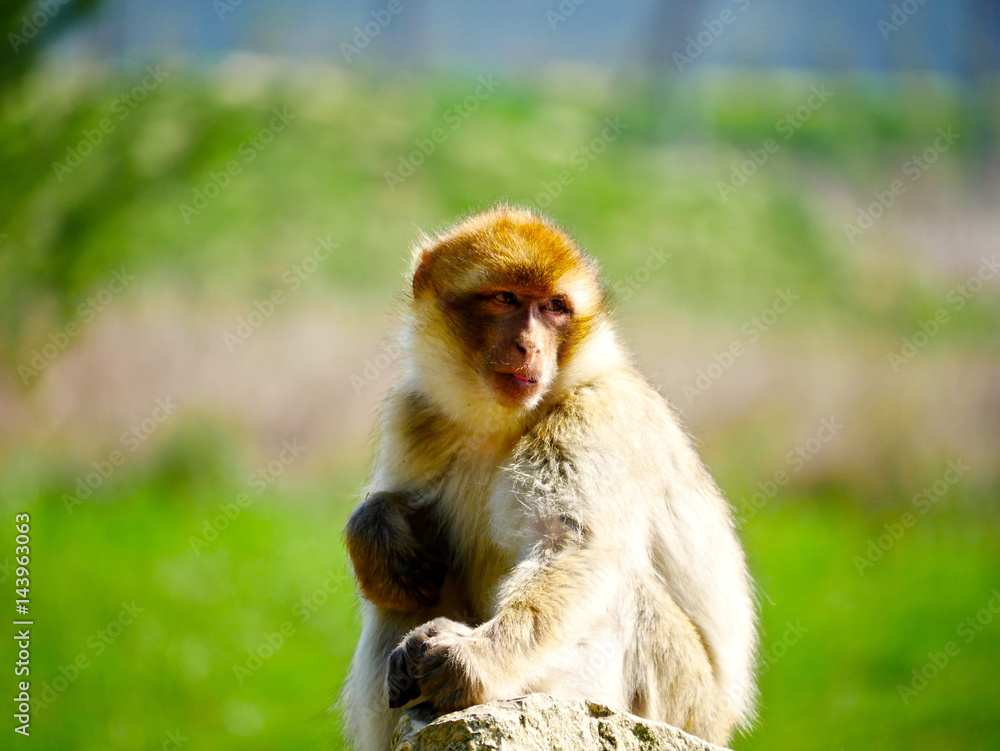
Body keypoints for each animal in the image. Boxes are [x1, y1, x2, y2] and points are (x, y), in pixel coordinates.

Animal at [341, 205, 757, 750]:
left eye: (554, 308)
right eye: (505, 299)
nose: (529, 345)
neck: (503, 422)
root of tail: (720, 726)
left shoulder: (592, 414)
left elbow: (571, 545)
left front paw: (477, 660)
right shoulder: (414, 413)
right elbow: (400, 515)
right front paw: (375, 528)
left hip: (682, 705)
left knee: (621, 584)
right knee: (402, 591)